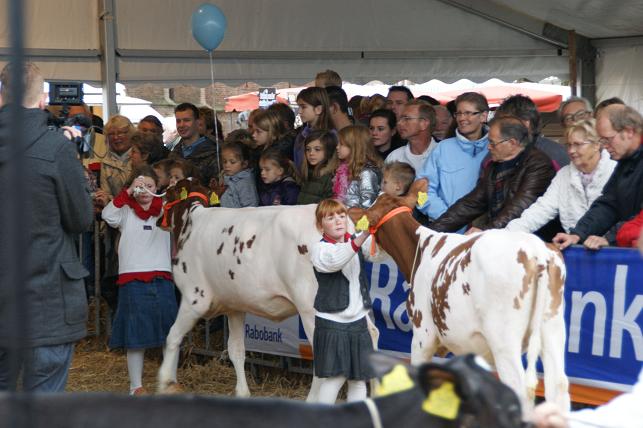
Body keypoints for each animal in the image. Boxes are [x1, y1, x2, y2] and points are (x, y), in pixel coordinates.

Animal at [156, 179, 378, 401]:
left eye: (167, 192)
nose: (157, 219)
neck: (191, 222)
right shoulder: (234, 306)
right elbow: (236, 350)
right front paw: (242, 392)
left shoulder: (194, 298)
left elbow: (172, 337)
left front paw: (166, 382)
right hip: (353, 306)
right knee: (372, 334)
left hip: (311, 309)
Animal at [348, 179, 570, 415]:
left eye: (368, 224)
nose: (361, 247)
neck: (420, 250)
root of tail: (537, 252)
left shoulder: (423, 335)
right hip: (553, 329)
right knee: (558, 385)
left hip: (504, 340)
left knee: (519, 388)